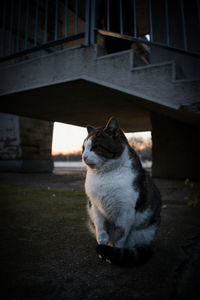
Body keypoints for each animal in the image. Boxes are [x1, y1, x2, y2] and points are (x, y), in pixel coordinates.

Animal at [81, 117, 161, 268]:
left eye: (95, 146)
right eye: (83, 148)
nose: (83, 156)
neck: (104, 175)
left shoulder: (125, 211)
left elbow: (120, 237)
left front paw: (113, 254)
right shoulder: (94, 207)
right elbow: (101, 233)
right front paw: (103, 250)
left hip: (144, 232)